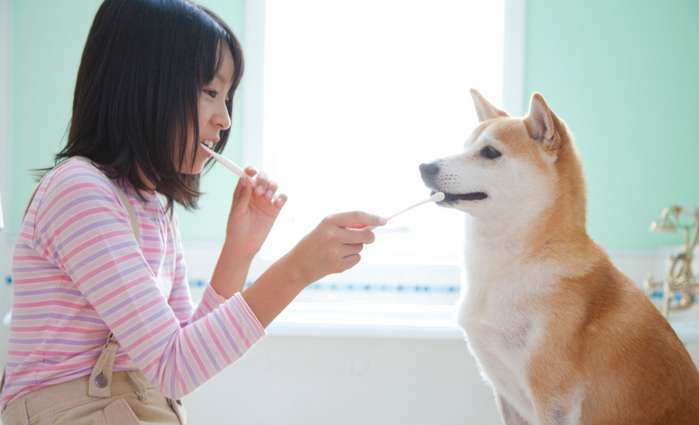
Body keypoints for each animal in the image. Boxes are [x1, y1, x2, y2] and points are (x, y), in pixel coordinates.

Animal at [422, 88, 699, 420]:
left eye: (489, 152)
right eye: (465, 147)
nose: (425, 167)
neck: (517, 262)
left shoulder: (553, 398)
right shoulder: (505, 394)